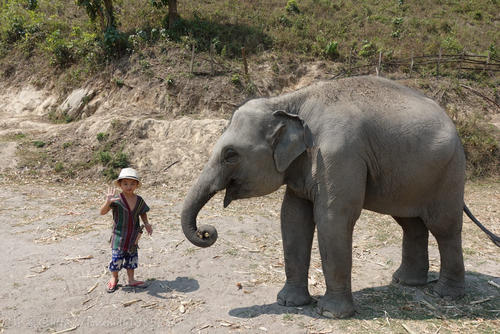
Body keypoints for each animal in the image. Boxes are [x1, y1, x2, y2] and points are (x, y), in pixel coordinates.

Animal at [181, 75, 500, 318]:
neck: (288, 102)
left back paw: (444, 294)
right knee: (410, 223)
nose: (207, 231)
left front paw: (331, 313)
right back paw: (406, 282)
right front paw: (288, 303)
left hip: (449, 171)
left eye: (230, 155)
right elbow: (292, 217)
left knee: (444, 227)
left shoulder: (338, 154)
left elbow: (332, 219)